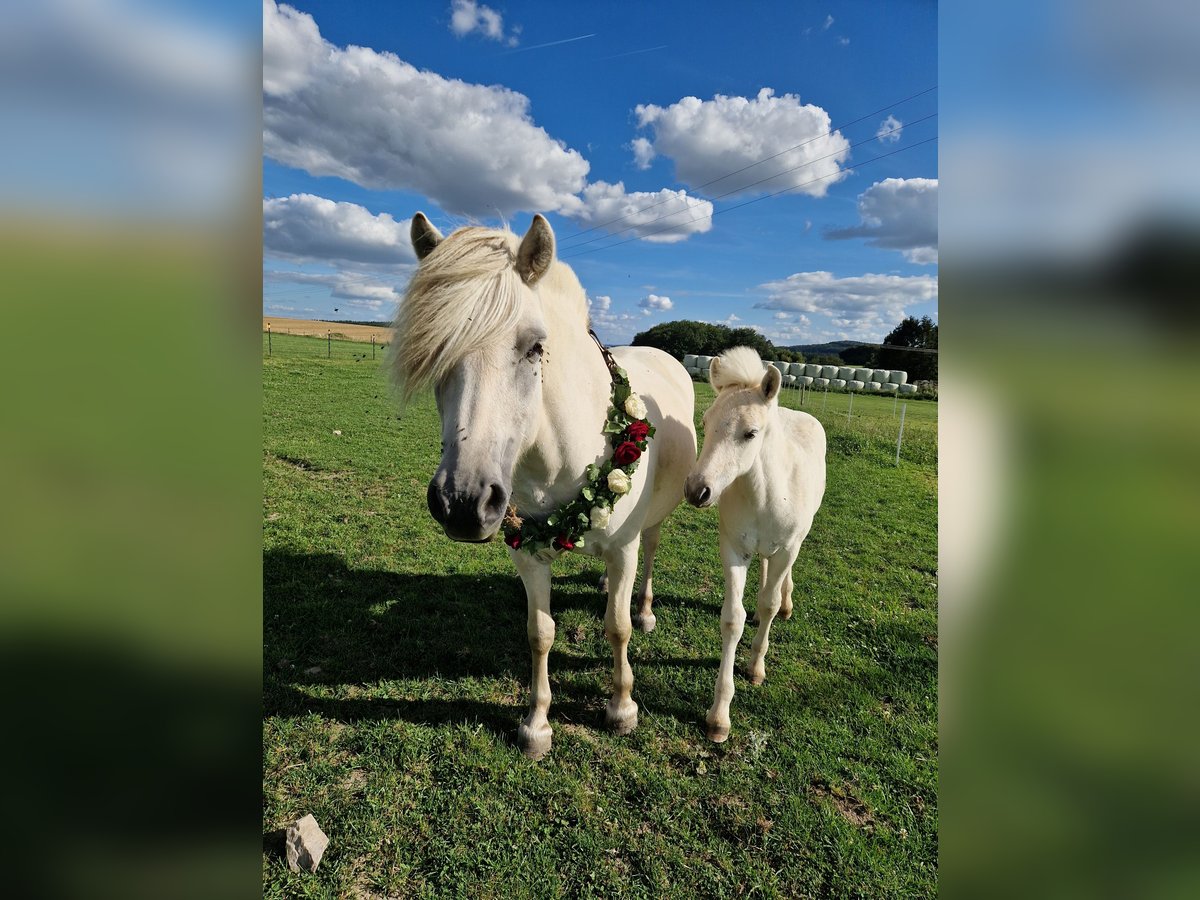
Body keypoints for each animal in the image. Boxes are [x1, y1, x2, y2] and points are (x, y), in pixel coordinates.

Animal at [391, 213, 696, 763]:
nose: (463, 503)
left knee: (649, 558)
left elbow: (616, 627)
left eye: (535, 346)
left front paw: (622, 708)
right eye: (437, 350)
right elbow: (540, 633)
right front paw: (536, 724)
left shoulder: (623, 548)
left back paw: (643, 610)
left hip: (651, 526)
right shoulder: (527, 551)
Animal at [686, 348, 825, 744]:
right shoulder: (735, 550)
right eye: (705, 423)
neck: (765, 493)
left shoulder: (787, 548)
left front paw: (756, 668)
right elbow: (734, 619)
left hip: (793, 543)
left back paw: (786, 605)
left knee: (779, 584)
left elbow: (768, 604)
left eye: (750, 433)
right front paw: (719, 717)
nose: (697, 491)